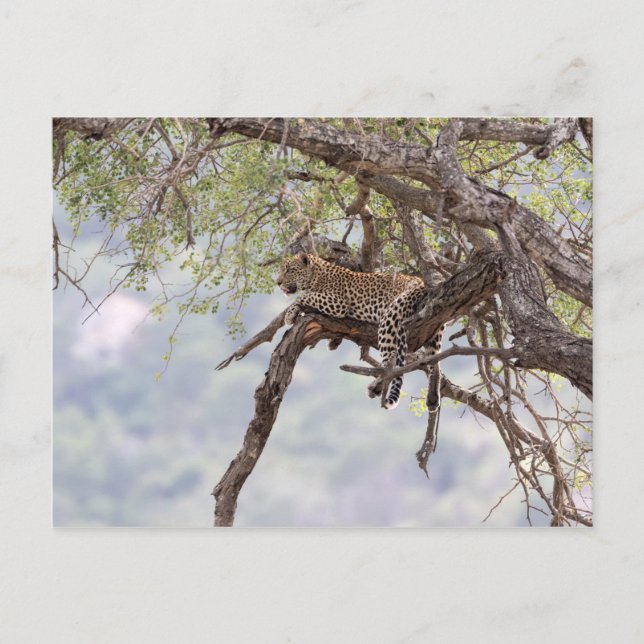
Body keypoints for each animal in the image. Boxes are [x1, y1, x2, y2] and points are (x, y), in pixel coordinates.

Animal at [276, 252, 444, 410]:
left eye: (289, 270)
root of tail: (420, 283)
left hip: (389, 319)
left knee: (390, 362)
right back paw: (433, 397)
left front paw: (289, 315)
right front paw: (333, 342)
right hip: (434, 328)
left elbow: (304, 297)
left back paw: (378, 385)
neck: (316, 275)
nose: (278, 283)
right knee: (434, 362)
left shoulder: (337, 302)